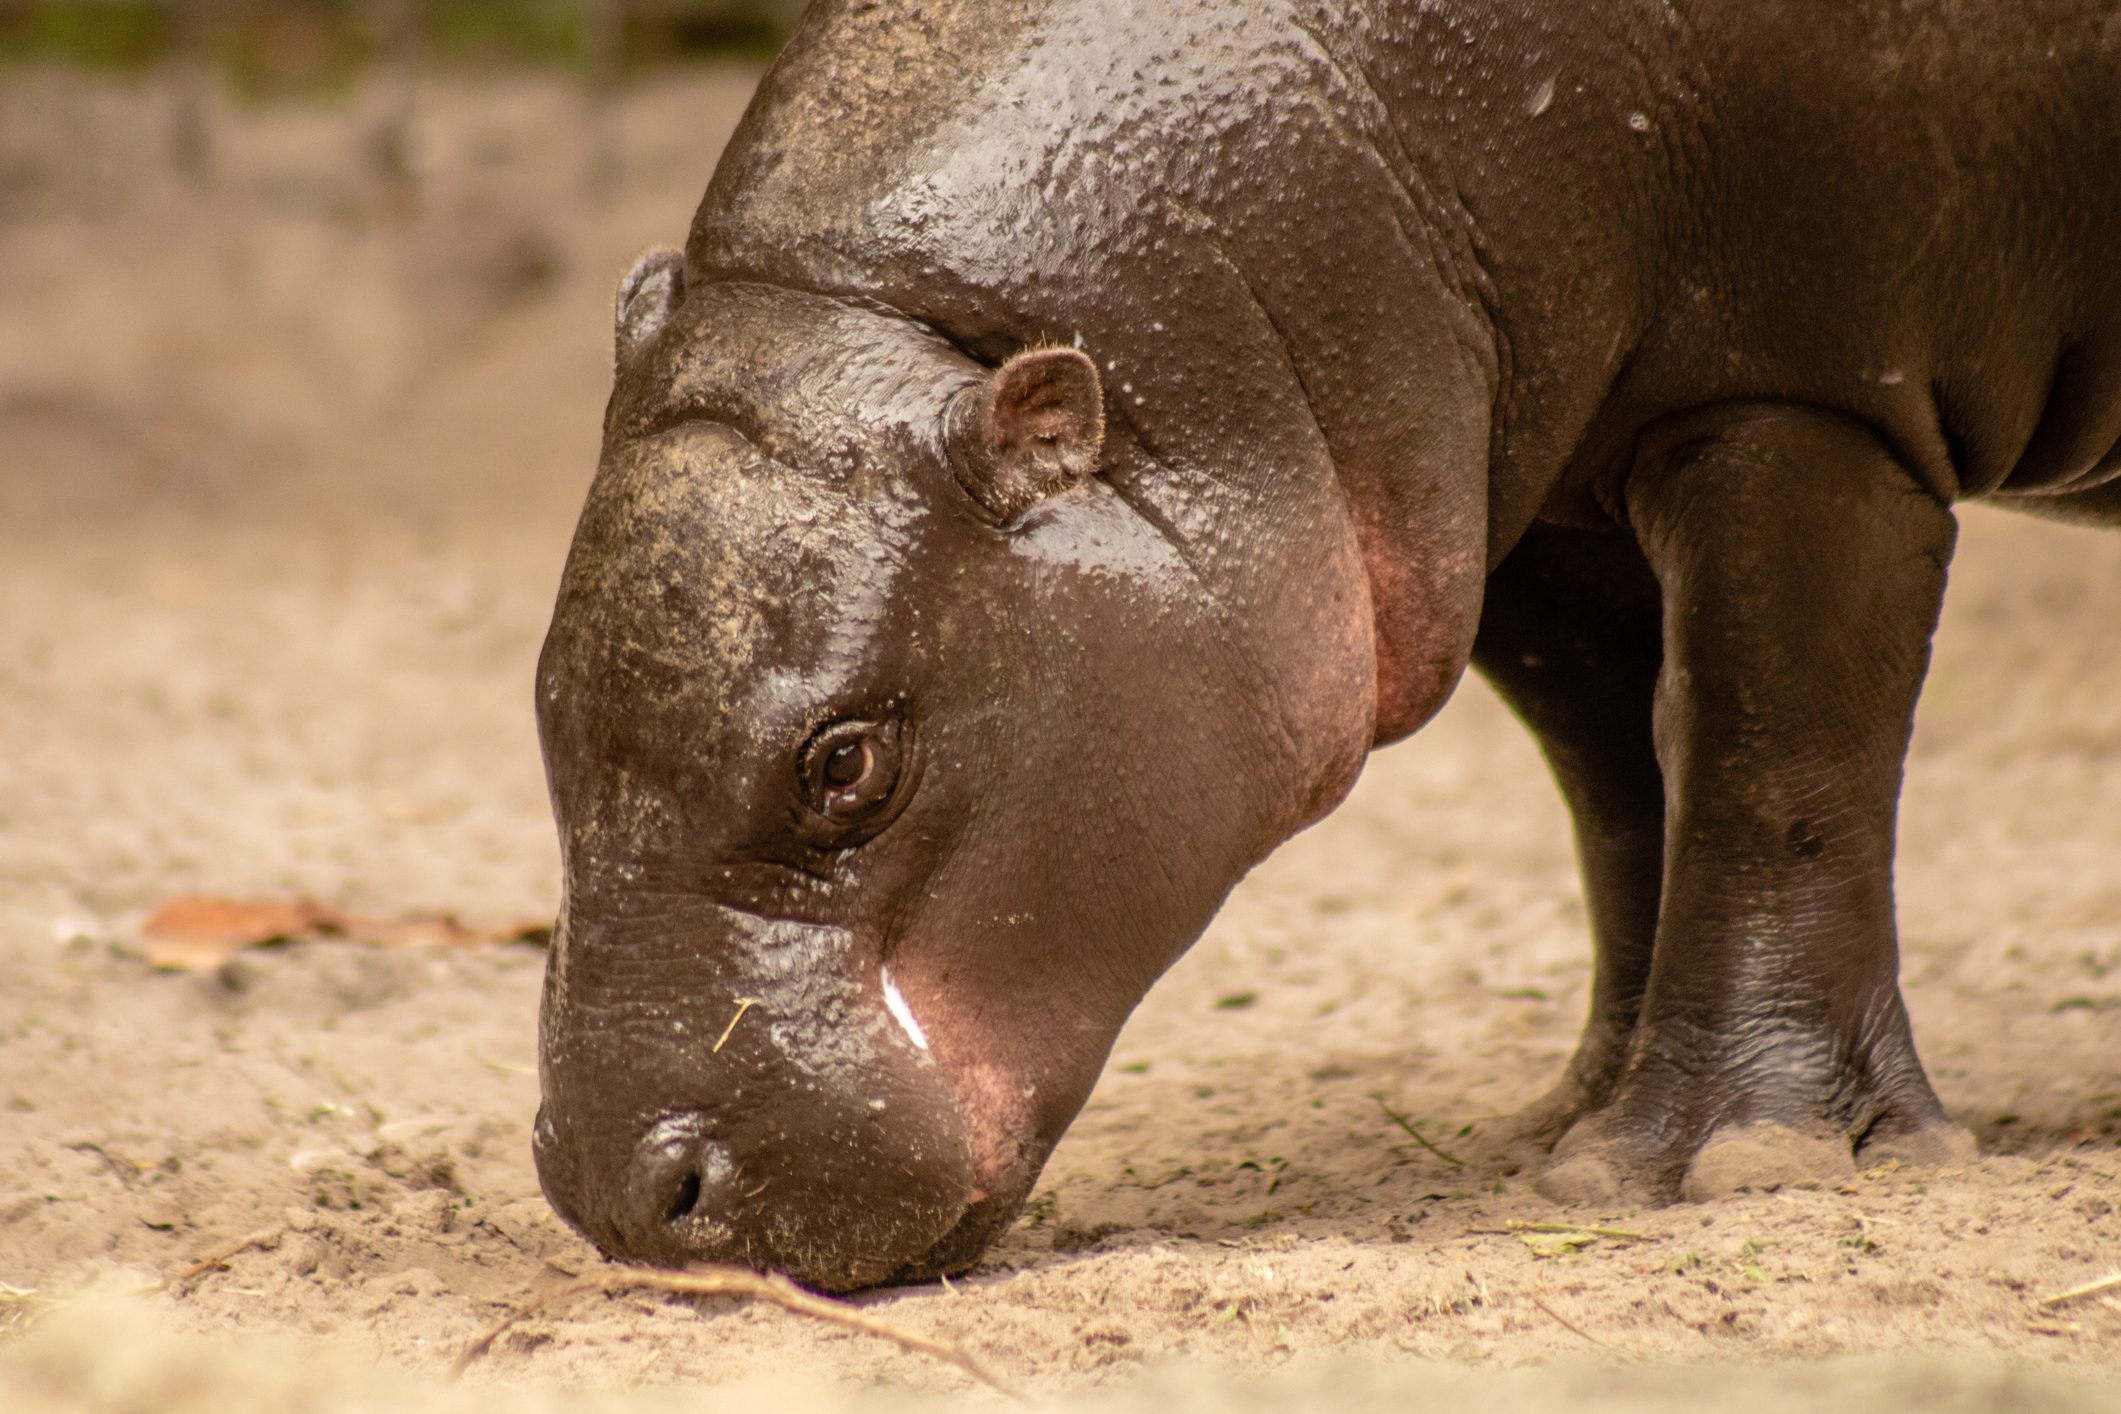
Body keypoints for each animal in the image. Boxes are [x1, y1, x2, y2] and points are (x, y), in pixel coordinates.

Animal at [531, 0, 2121, 1291]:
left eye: (847, 761)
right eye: (539, 710)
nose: (617, 1191)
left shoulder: (1808, 394)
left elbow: (1766, 765)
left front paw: (1733, 1160)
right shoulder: (1506, 490)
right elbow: (1625, 778)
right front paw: (1574, 1125)